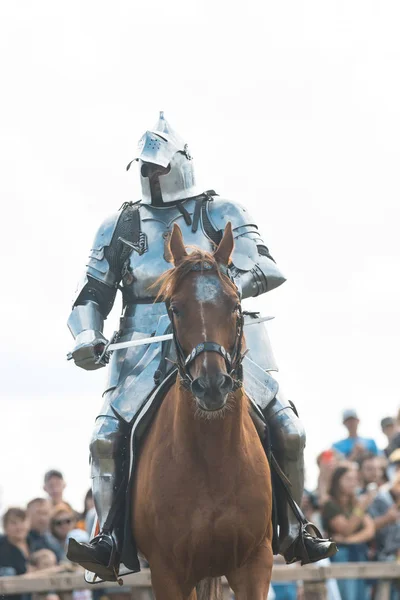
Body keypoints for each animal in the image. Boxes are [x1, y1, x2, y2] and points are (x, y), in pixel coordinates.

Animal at [133, 223, 274, 600]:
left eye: (235, 305)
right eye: (176, 308)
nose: (212, 386)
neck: (213, 462)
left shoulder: (254, 565)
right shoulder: (169, 574)